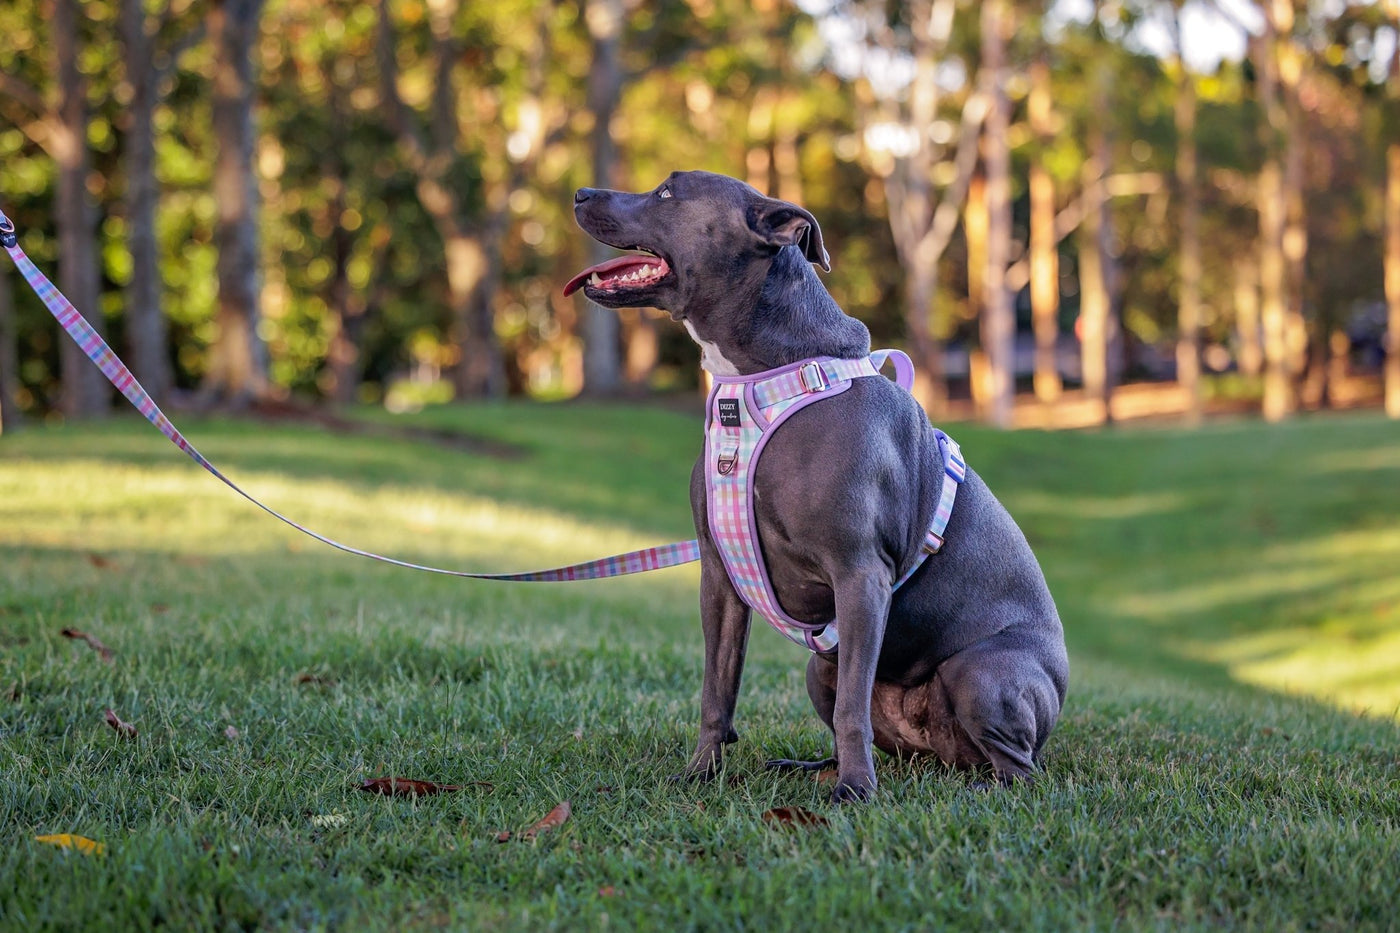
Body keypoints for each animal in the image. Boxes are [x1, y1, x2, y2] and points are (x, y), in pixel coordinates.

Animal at [562, 168, 1064, 801]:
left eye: (668, 193)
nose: (579, 193)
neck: (763, 378)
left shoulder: (860, 576)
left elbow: (852, 706)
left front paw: (855, 792)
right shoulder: (720, 576)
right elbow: (717, 690)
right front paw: (702, 773)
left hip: (981, 672)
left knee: (1018, 768)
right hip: (819, 668)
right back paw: (811, 766)